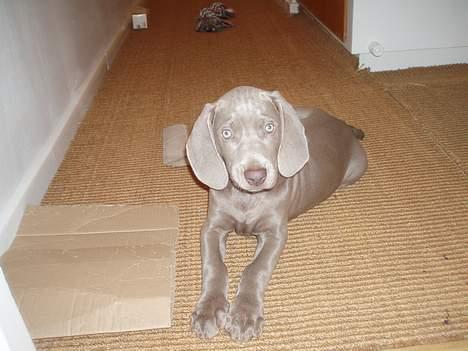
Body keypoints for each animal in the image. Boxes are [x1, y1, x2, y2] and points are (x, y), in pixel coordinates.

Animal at [185, 86, 368, 344]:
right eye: (226, 133)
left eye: (270, 127)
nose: (256, 176)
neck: (247, 198)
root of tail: (342, 125)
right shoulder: (212, 227)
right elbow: (215, 266)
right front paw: (209, 311)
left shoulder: (275, 233)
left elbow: (255, 269)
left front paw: (245, 315)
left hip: (355, 169)